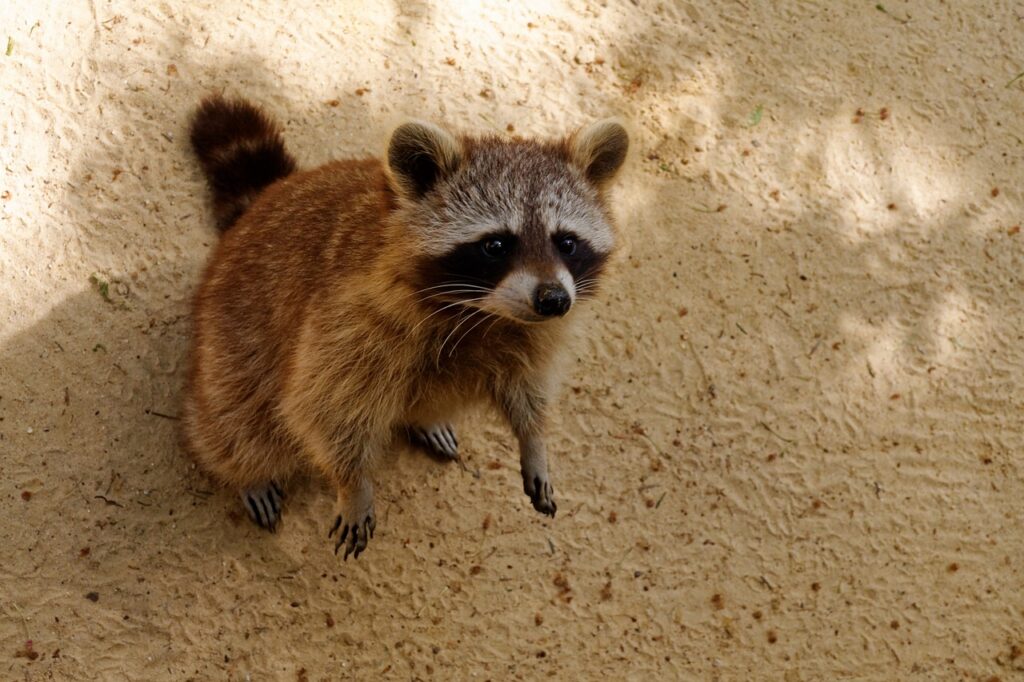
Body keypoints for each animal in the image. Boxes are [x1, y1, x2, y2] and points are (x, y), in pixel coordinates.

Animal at [183, 95, 628, 559]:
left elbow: (526, 384)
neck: (485, 313)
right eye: (497, 244)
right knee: (236, 415)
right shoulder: (349, 318)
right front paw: (353, 485)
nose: (553, 300)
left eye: (567, 242)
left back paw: (424, 418)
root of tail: (266, 200)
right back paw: (244, 470)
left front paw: (534, 439)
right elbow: (325, 406)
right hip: (234, 328)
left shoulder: (534, 333)